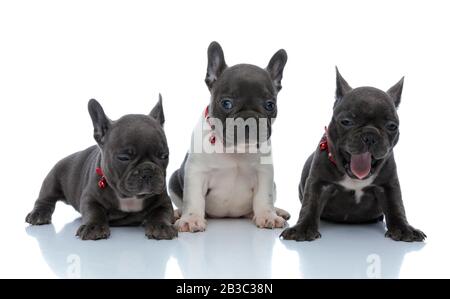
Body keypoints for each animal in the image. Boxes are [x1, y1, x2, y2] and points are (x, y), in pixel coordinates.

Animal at [25, 96, 178, 241]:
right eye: (124, 157)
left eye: (164, 156)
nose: (147, 171)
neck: (129, 197)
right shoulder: (90, 197)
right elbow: (94, 211)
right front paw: (94, 227)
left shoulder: (163, 201)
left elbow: (162, 212)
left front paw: (161, 226)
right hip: (53, 178)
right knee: (45, 198)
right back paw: (38, 214)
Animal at [170, 41, 292, 233]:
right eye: (226, 103)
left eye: (270, 105)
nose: (249, 119)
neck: (235, 150)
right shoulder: (197, 172)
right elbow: (194, 198)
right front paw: (191, 219)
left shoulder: (264, 173)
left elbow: (264, 197)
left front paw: (268, 216)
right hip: (173, 179)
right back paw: (177, 213)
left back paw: (276, 211)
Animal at [282, 68, 426, 244]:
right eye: (346, 121)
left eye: (392, 126)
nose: (370, 135)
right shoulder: (318, 183)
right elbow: (310, 204)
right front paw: (302, 228)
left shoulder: (388, 185)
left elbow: (396, 206)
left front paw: (404, 228)